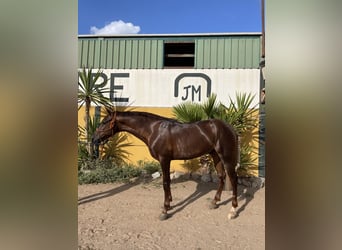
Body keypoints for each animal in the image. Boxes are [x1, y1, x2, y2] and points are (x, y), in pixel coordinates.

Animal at [92, 110, 239, 220]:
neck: (153, 130)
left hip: (226, 157)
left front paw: (165, 210)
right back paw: (215, 202)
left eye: (104, 122)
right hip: (215, 155)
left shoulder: (164, 159)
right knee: (221, 176)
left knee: (233, 178)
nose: (94, 139)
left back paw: (233, 210)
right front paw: (169, 205)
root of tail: (229, 127)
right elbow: (167, 182)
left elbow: (165, 182)